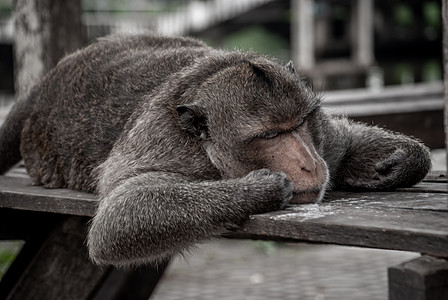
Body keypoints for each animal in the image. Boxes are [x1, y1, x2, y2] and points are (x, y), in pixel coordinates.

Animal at [0, 32, 432, 266]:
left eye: (298, 124)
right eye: (269, 136)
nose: (311, 164)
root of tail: (48, 79)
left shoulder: (321, 132)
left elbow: (341, 139)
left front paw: (401, 162)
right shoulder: (164, 145)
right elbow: (118, 219)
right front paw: (259, 189)